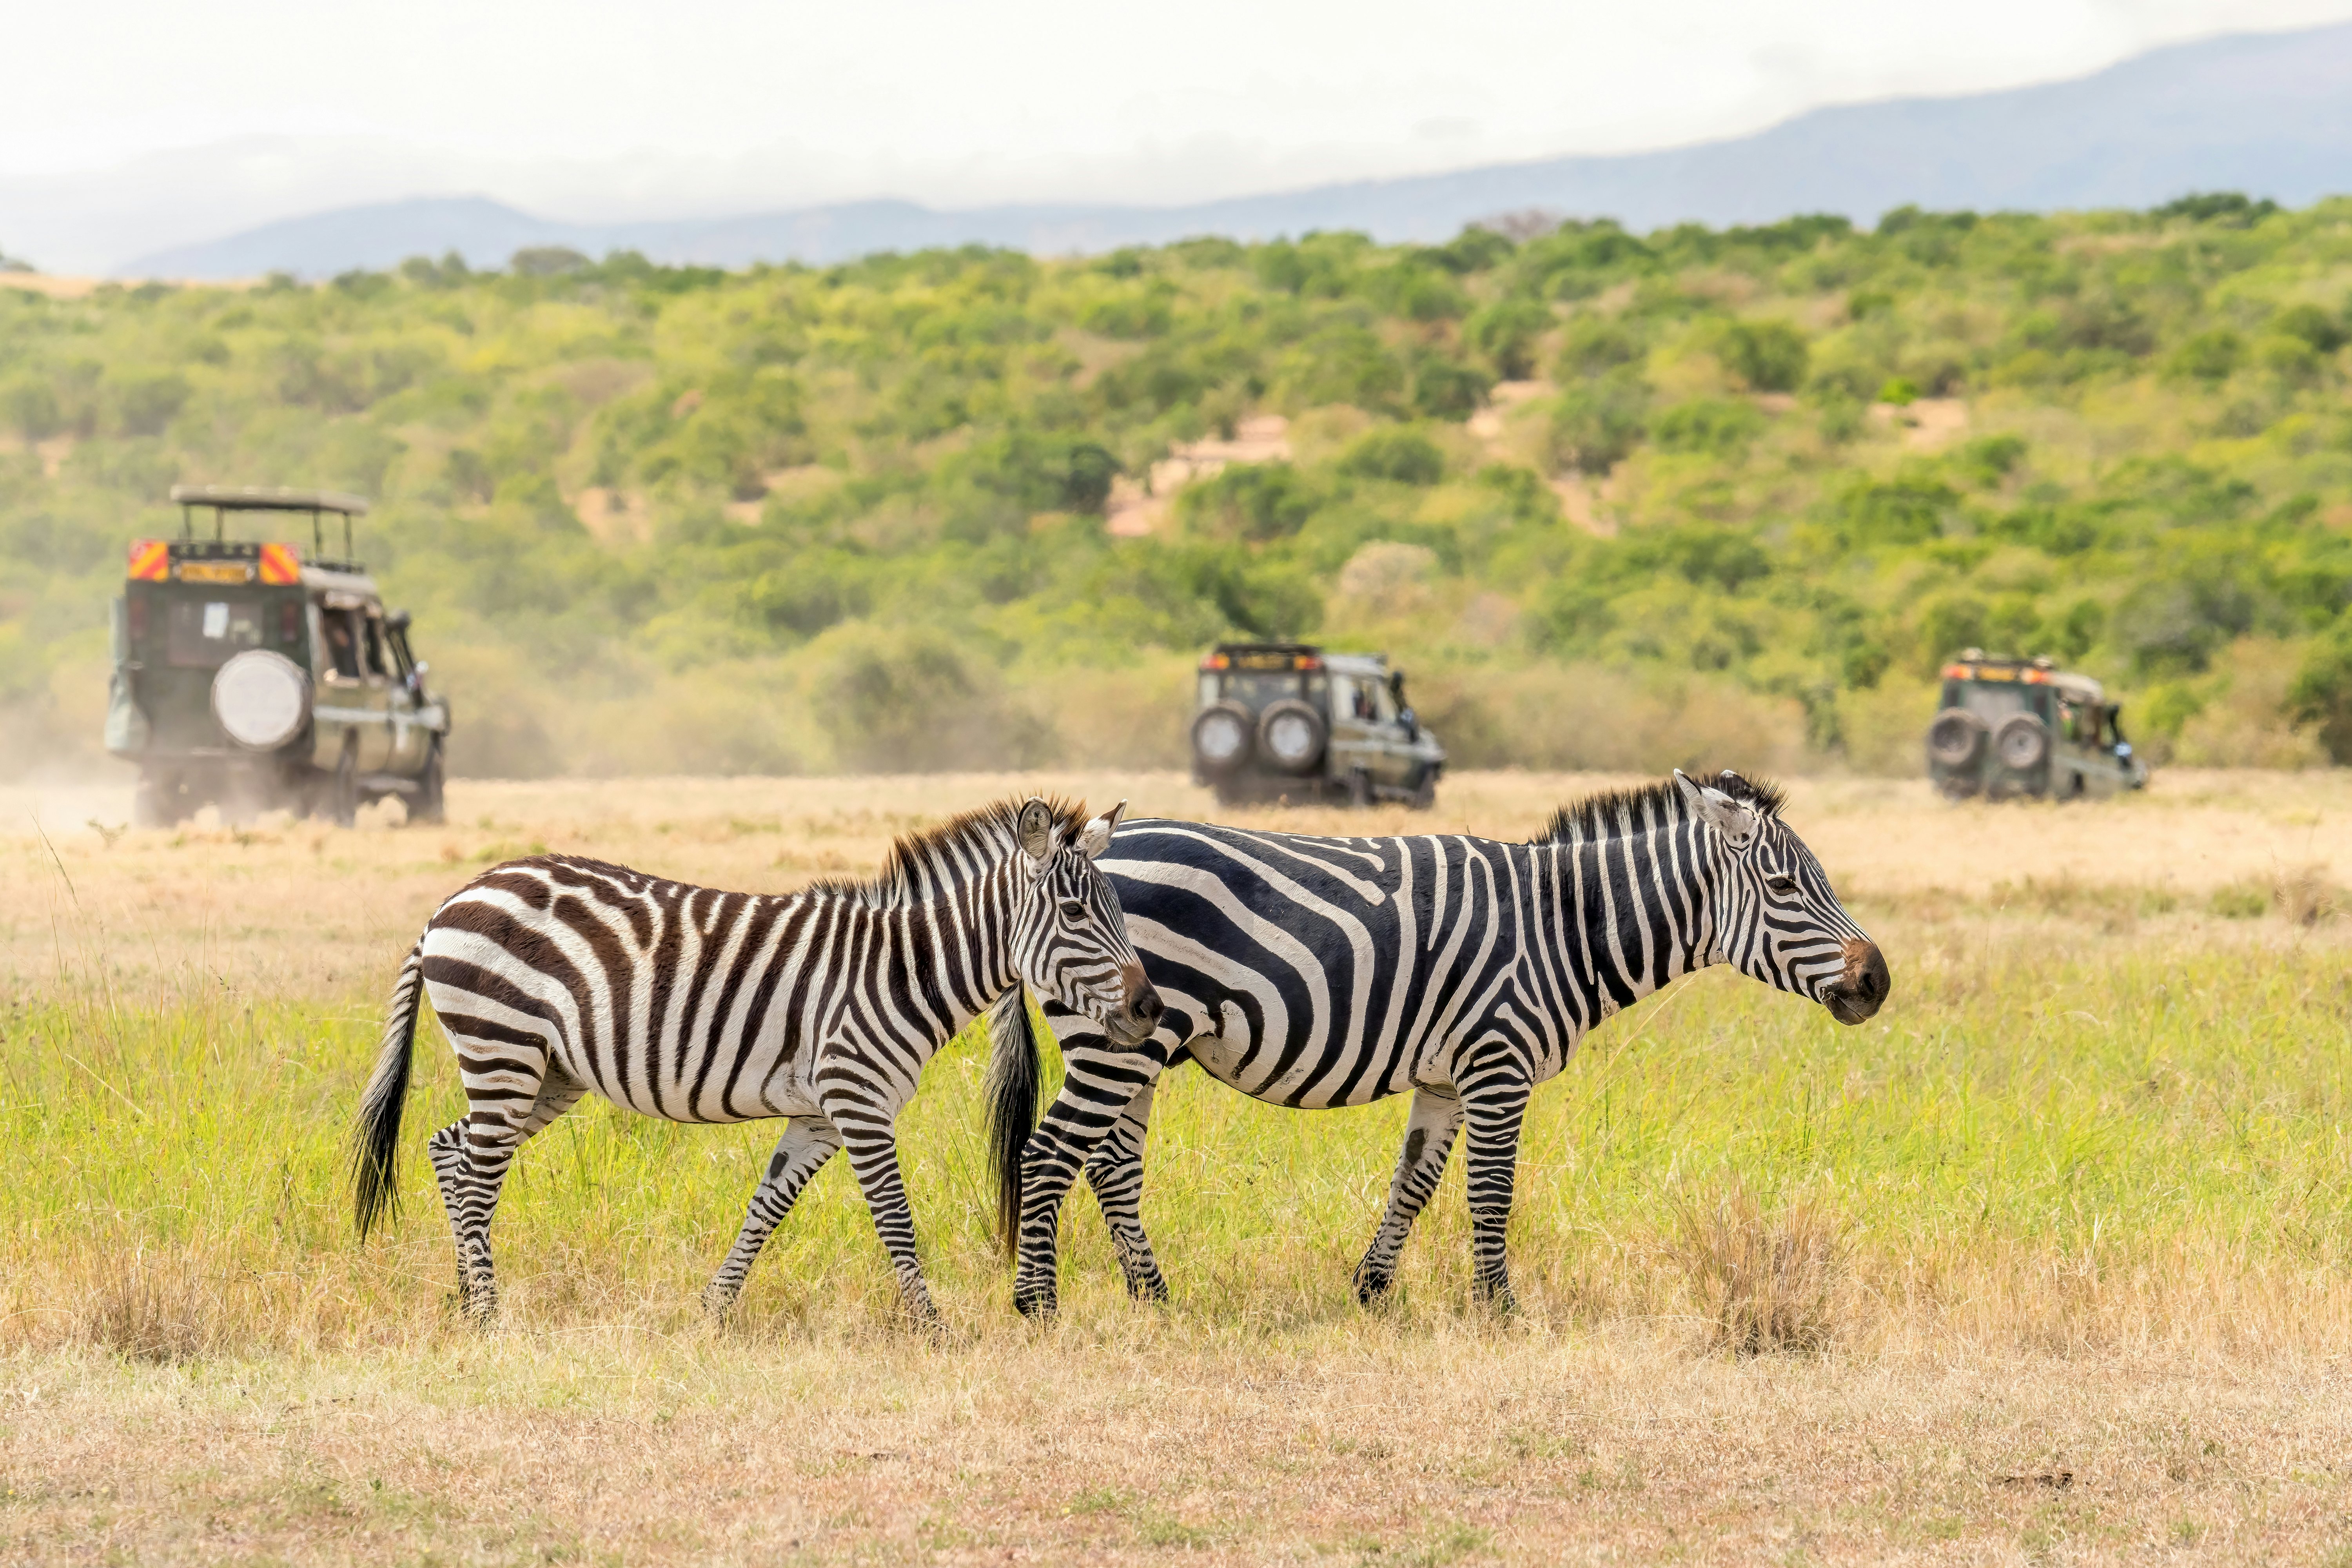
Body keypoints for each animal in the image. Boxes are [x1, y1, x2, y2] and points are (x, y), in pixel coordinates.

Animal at [351, 795, 1161, 1326]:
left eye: (1122, 909)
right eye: (1077, 913)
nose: (1152, 1010)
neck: (901, 969)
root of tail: (452, 901)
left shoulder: (822, 1114)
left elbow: (767, 1205)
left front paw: (714, 1308)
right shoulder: (859, 1099)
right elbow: (894, 1216)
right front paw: (933, 1327)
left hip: (547, 1072)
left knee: (451, 1150)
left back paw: (466, 1297)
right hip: (504, 1046)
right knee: (480, 1173)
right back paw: (488, 1313)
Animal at [986, 770, 1888, 1314]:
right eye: (1785, 885)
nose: (1878, 980)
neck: (1568, 925)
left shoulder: (1447, 1077)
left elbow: (1414, 1184)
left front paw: (1372, 1289)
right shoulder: (1499, 1062)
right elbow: (1490, 1192)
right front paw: (1499, 1307)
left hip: (1138, 1047)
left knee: (1111, 1165)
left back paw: (1154, 1295)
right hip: (1117, 1047)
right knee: (1052, 1155)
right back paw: (1039, 1302)